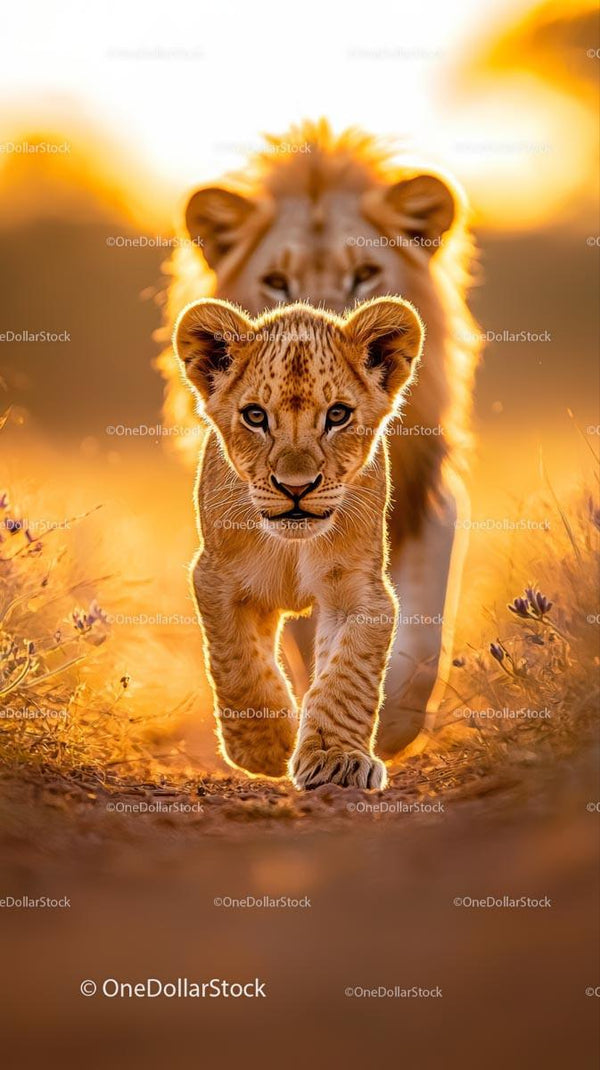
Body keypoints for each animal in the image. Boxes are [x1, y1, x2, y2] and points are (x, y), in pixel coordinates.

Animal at [173, 295, 424, 788]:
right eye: (255, 416)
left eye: (338, 415)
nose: (296, 487)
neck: (291, 546)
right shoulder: (216, 579)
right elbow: (237, 663)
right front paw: (266, 746)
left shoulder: (361, 593)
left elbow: (346, 677)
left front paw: (335, 759)